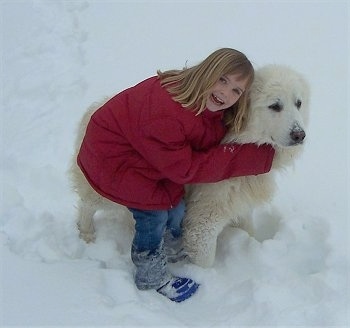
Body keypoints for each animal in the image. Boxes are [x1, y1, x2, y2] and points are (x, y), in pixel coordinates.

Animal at [183, 65, 308, 268]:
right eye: (275, 106)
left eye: (298, 103)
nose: (299, 135)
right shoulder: (205, 215)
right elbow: (204, 258)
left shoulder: (239, 199)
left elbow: (246, 228)